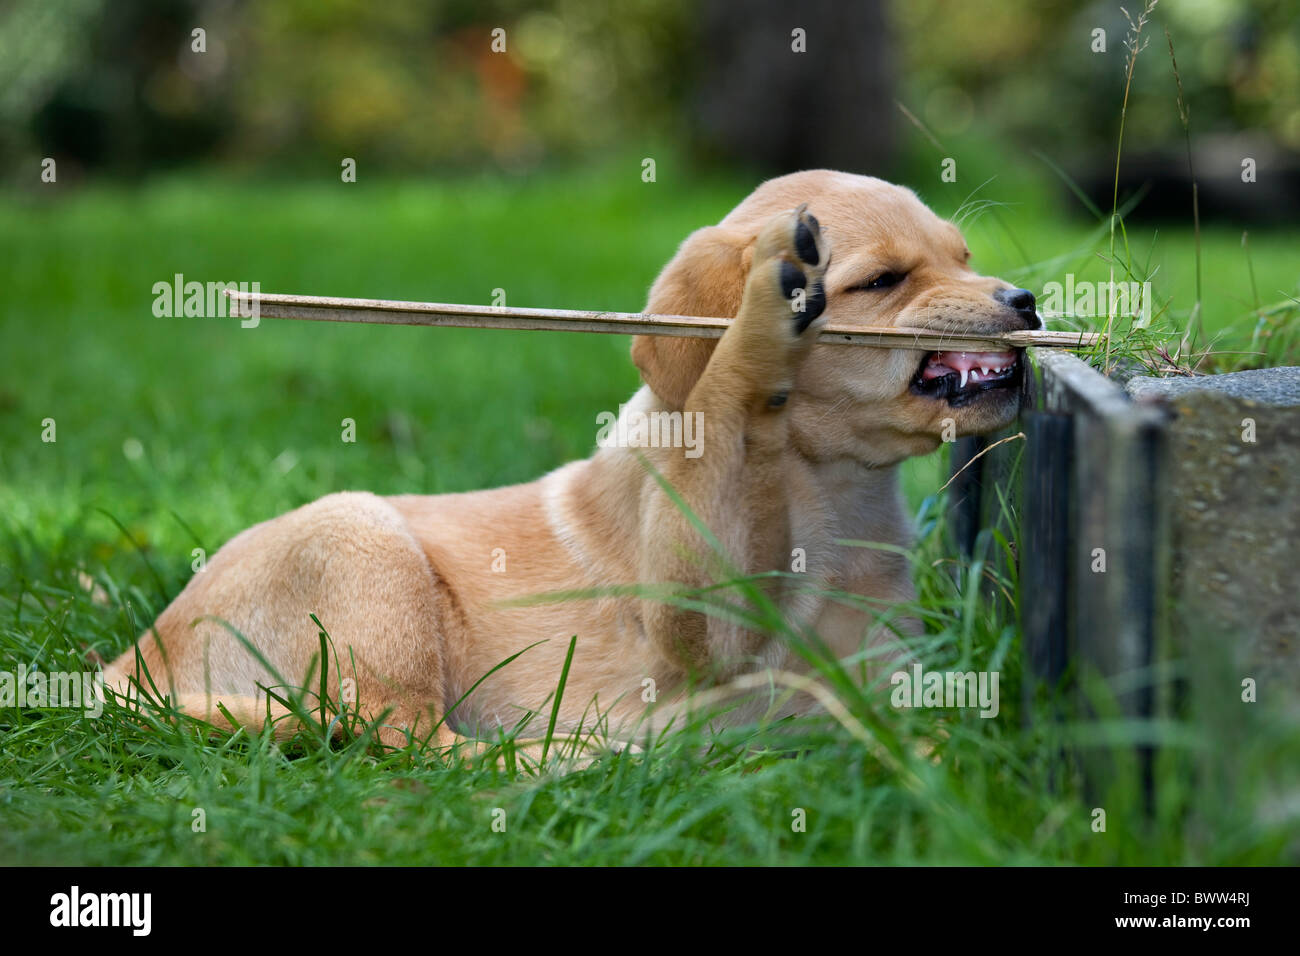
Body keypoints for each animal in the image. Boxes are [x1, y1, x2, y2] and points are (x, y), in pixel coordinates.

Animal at [104, 170, 1034, 754]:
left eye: (963, 256)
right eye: (883, 281)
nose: (1026, 301)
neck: (828, 486)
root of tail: (128, 668)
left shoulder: (889, 675)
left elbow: (933, 734)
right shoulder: (698, 625)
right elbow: (720, 404)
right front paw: (761, 319)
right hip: (362, 543)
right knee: (409, 742)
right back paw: (591, 760)